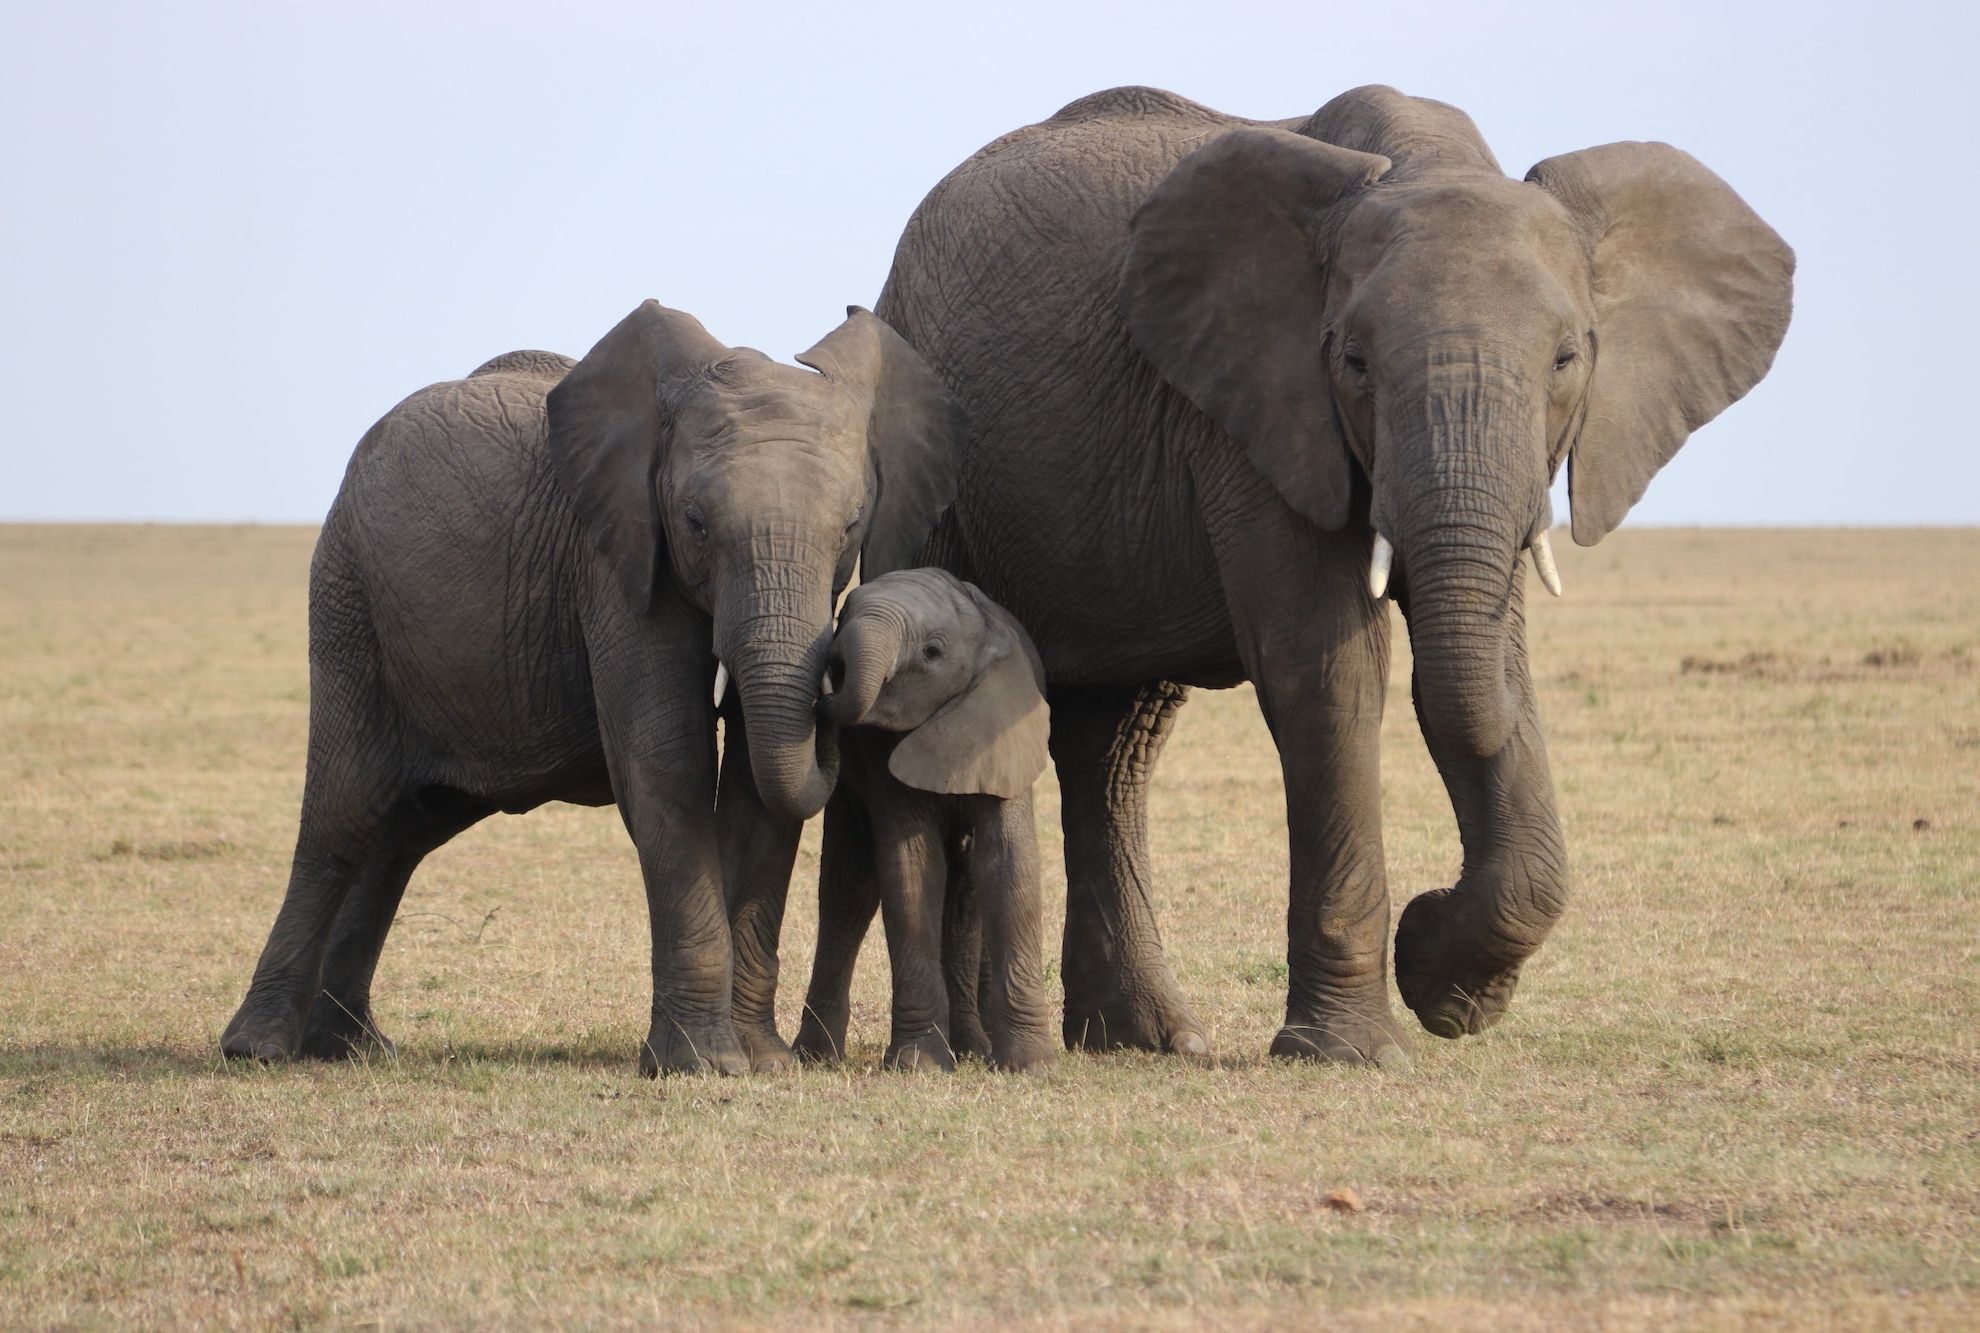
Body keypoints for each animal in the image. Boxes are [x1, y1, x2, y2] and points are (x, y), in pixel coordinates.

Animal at [219, 301, 964, 1075]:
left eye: (850, 527)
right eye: (696, 525)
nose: (839, 674)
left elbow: (756, 788)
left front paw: (762, 1062)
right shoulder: (614, 562)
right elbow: (669, 763)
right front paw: (702, 1064)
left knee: (403, 832)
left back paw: (351, 1047)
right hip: (348, 598)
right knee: (346, 813)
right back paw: (259, 1048)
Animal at [793, 569, 1056, 1073]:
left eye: (932, 651)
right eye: (844, 613)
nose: (830, 668)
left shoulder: (1003, 730)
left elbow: (1009, 865)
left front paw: (1030, 1066)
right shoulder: (877, 751)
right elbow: (912, 870)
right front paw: (917, 1066)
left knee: (963, 895)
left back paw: (972, 1049)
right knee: (848, 890)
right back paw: (815, 1058)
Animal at [831, 85, 1793, 1066]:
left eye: (1568, 358)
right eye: (1353, 360)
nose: (1427, 918)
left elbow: (1492, 668)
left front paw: (1451, 991)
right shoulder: (1253, 411)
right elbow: (1331, 671)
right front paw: (1360, 1044)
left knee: (1117, 742)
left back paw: (1148, 1037)